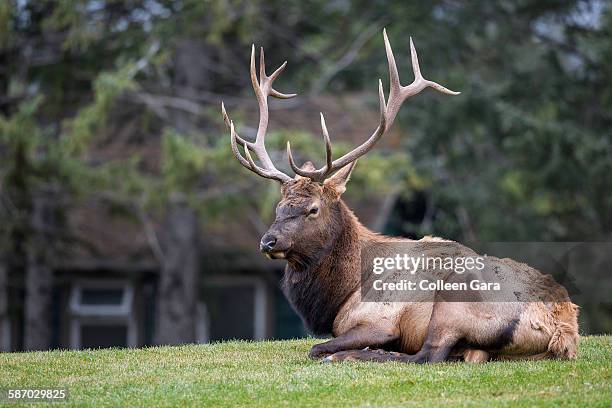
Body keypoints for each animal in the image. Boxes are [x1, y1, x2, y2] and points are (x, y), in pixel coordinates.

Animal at [221, 29, 580, 364]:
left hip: (455, 301)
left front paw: (341, 351)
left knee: (427, 355)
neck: (345, 290)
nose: (268, 241)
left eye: (312, 209)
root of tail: (564, 328)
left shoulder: (379, 318)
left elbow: (316, 345)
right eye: (279, 206)